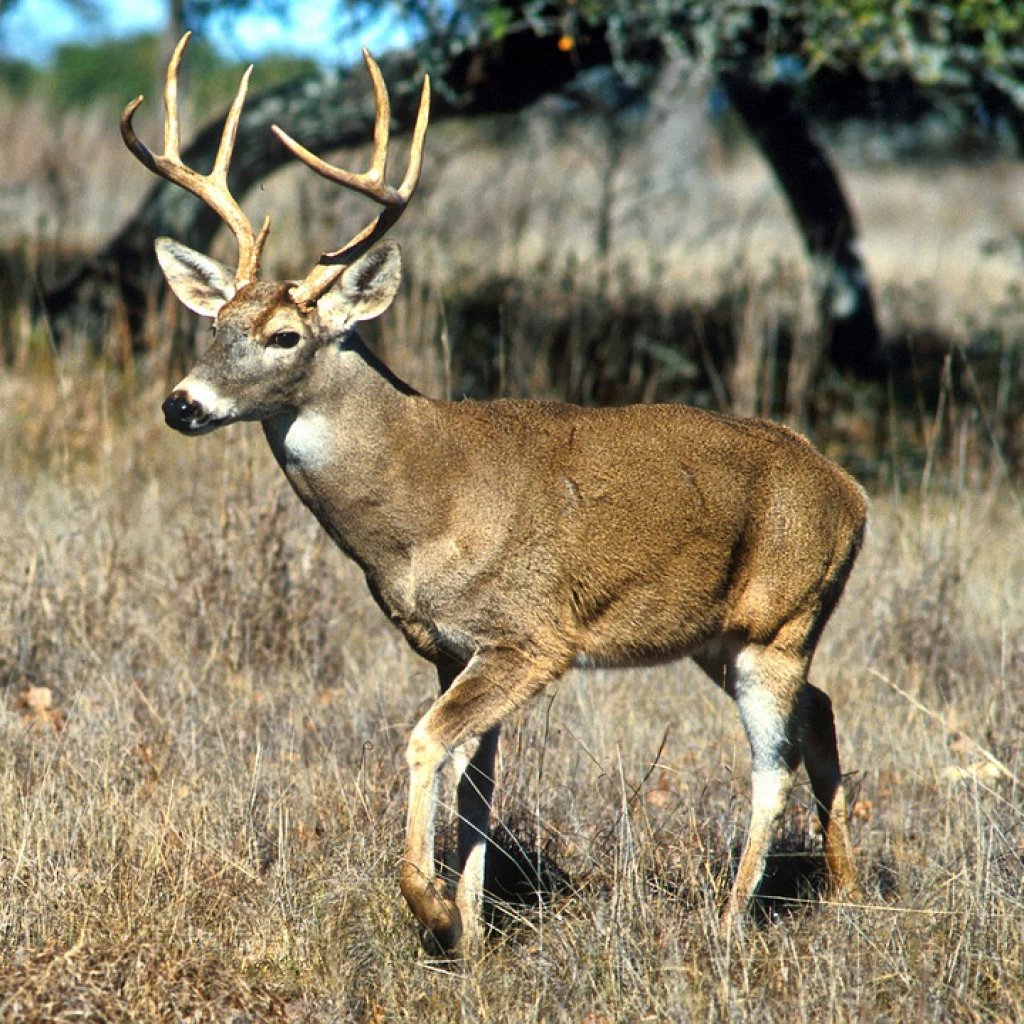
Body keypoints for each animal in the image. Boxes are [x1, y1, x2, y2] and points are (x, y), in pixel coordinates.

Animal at [123, 34, 868, 958]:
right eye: (214, 325)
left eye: (285, 335)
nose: (181, 404)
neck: (424, 507)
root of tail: (853, 494)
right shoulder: (452, 646)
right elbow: (476, 782)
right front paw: (474, 931)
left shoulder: (530, 636)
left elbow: (424, 744)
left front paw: (434, 908)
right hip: (723, 635)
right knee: (822, 712)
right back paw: (845, 893)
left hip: (780, 621)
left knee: (773, 763)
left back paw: (729, 923)